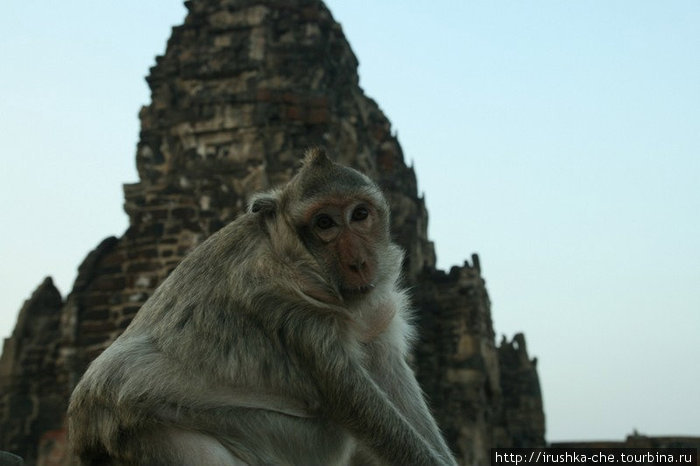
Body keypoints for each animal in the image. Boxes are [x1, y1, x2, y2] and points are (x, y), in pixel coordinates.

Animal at [68, 149, 456, 466]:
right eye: (325, 223)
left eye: (360, 214)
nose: (359, 263)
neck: (299, 256)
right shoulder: (284, 307)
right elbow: (354, 399)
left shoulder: (375, 310)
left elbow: (388, 369)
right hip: (155, 430)